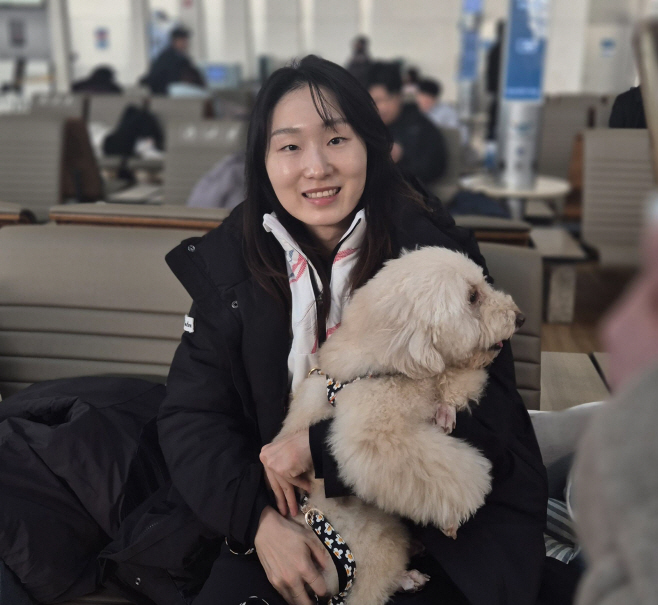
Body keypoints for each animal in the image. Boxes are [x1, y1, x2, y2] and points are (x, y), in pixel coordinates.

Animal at [272, 247, 524, 604]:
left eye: (483, 284)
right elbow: (445, 472)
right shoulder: (374, 436)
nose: (519, 317)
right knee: (371, 589)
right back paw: (408, 578)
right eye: (472, 297)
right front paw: (455, 515)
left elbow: (456, 378)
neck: (391, 359)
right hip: (377, 544)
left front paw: (446, 407)